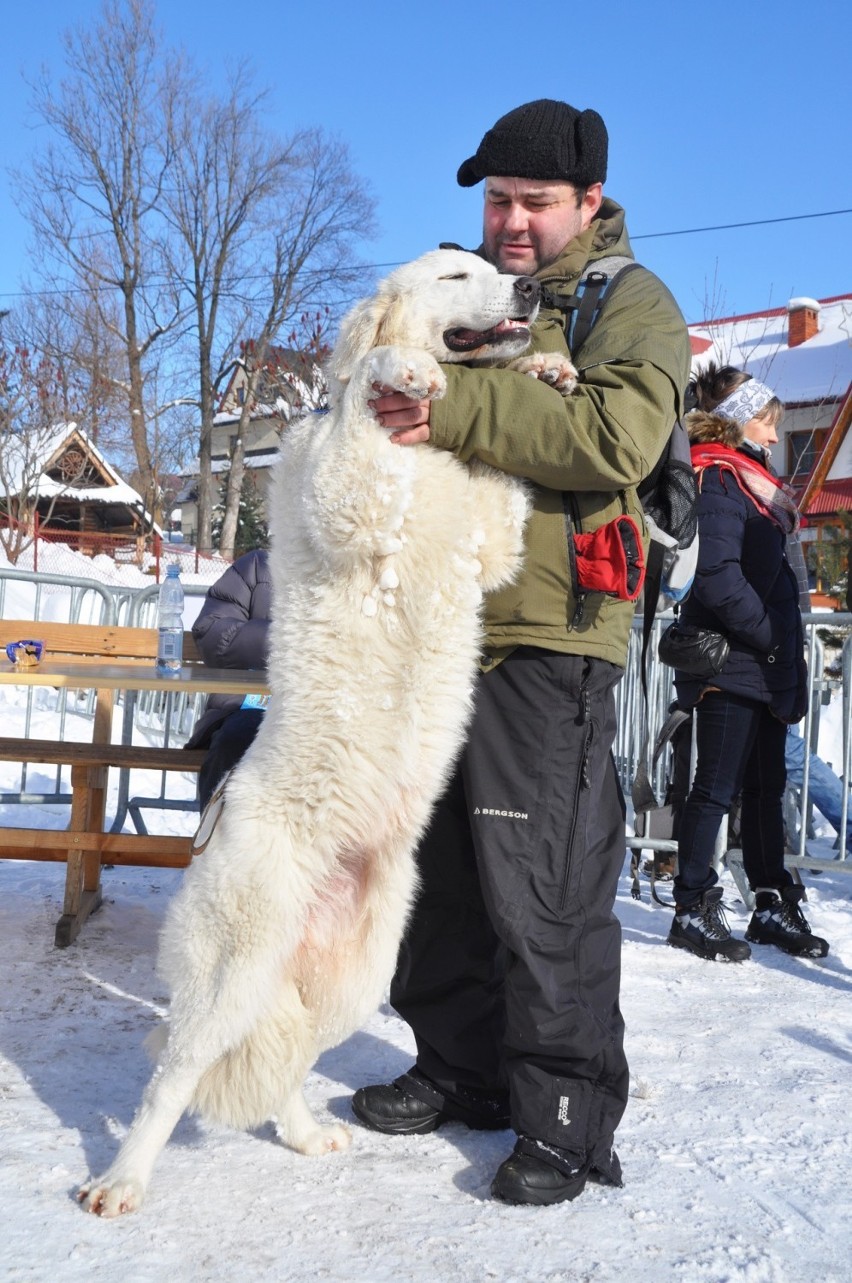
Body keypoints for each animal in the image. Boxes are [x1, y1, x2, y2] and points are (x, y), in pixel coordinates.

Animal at [78, 247, 572, 1211]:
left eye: (494, 264)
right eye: (455, 273)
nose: (533, 289)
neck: (431, 454)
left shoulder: (490, 542)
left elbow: (506, 488)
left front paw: (542, 369)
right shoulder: (354, 501)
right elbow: (359, 417)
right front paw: (398, 372)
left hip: (356, 973)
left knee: (286, 1064)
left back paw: (308, 1135)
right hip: (236, 969)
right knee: (173, 1076)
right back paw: (122, 1179)